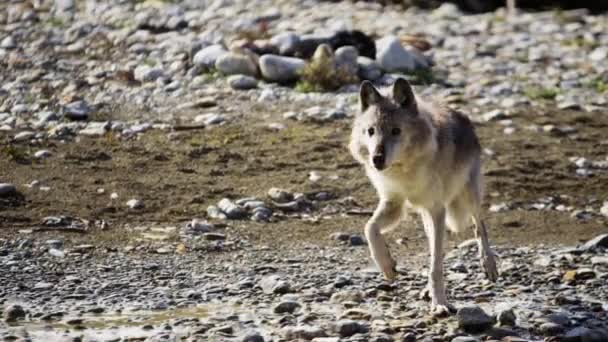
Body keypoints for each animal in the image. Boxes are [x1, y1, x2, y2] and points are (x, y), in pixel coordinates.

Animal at [350, 79, 496, 316]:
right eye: (370, 131)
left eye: (396, 131)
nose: (377, 159)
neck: (404, 170)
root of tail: (459, 113)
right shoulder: (394, 203)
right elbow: (369, 228)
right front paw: (387, 266)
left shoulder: (437, 209)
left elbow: (436, 264)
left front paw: (440, 303)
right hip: (427, 217)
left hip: (468, 196)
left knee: (479, 226)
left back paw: (489, 265)